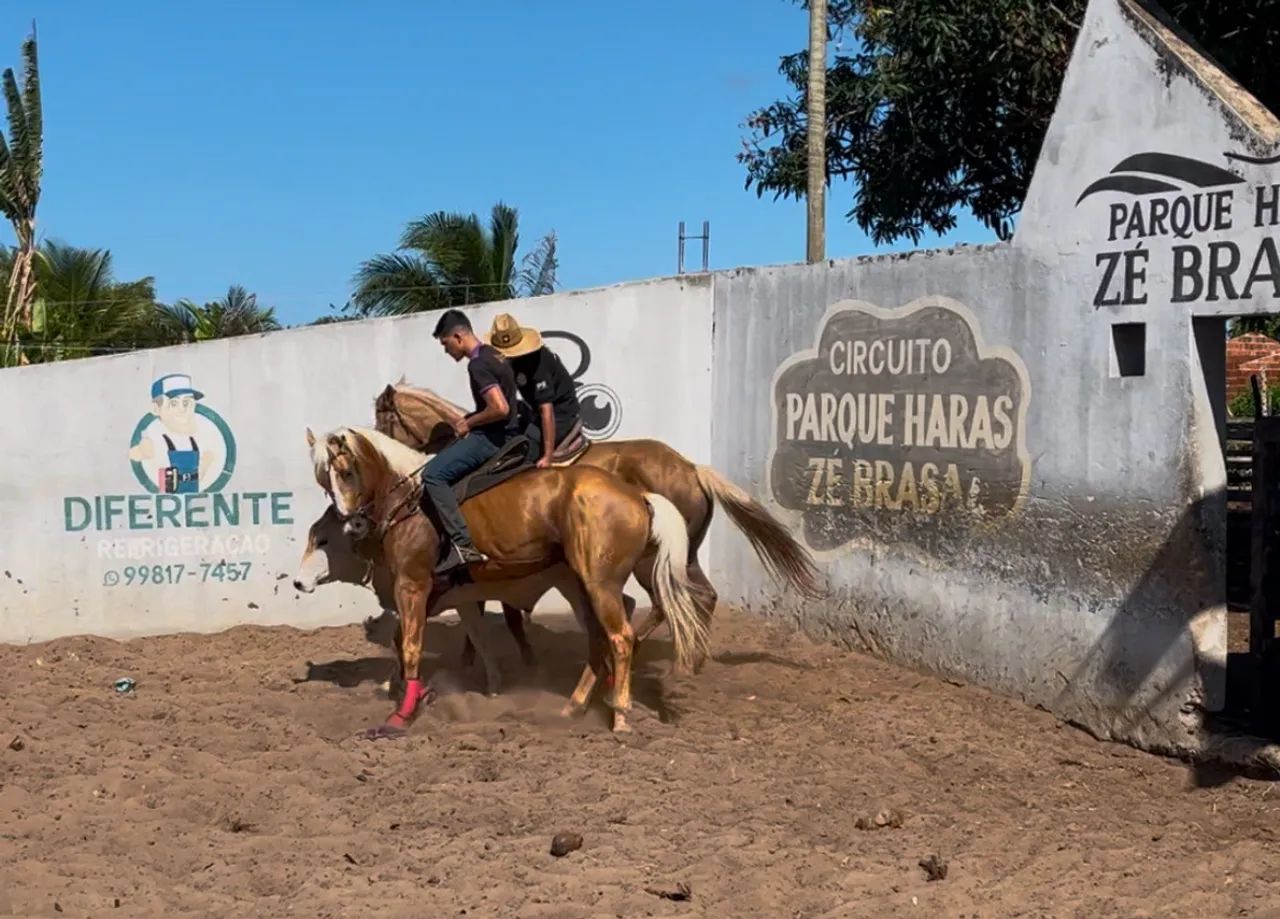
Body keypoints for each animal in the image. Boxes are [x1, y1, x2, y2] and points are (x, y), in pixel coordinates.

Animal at [306, 424, 710, 736]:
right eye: (323, 480)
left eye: (346, 472)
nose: (352, 524)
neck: (410, 500)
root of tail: (638, 495)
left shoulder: (413, 584)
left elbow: (409, 645)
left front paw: (402, 714)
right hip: (584, 584)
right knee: (602, 639)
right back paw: (574, 706)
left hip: (600, 585)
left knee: (622, 638)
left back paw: (620, 715)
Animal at [372, 380, 822, 665]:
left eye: (383, 419)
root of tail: (693, 469)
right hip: (685, 554)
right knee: (702, 597)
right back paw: (692, 658)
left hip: (650, 562)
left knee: (663, 603)